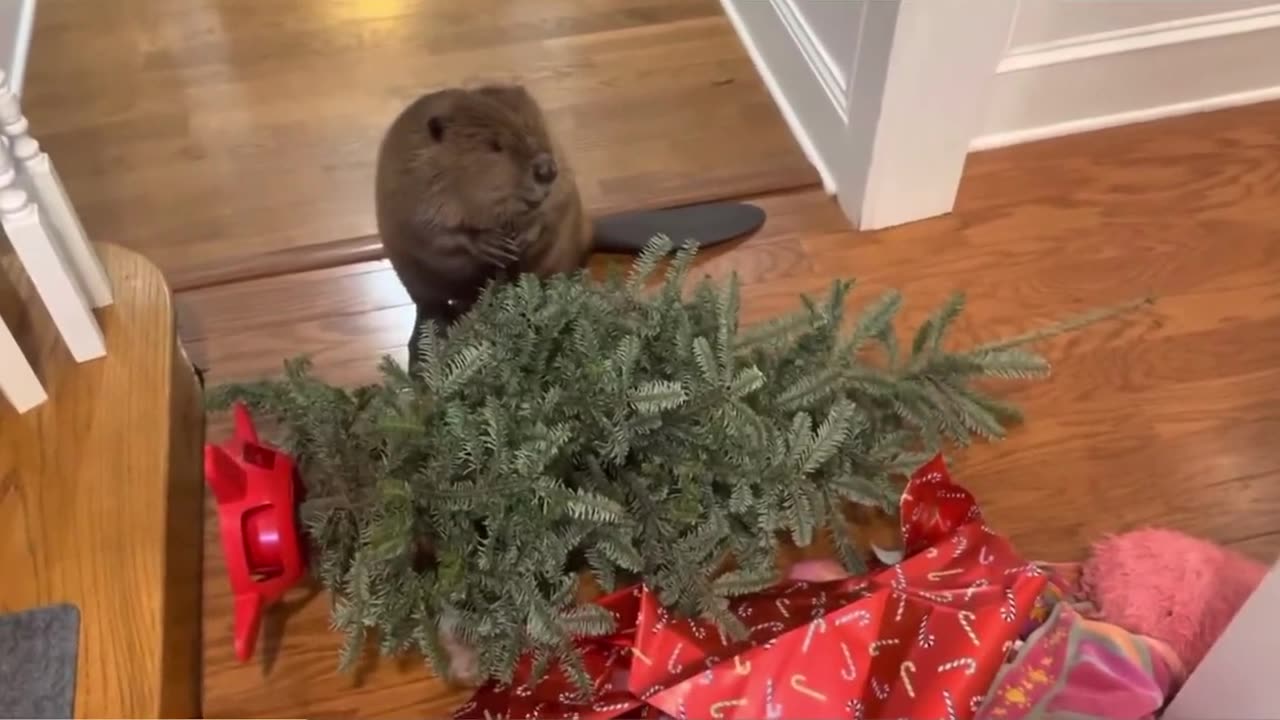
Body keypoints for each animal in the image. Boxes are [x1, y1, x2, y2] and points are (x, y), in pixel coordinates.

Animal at [371, 83, 588, 361]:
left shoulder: (559, 159)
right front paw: (492, 245)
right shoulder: (408, 185)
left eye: (527, 128)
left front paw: (522, 238)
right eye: (495, 145)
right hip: (413, 278)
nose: (546, 170)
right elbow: (431, 234)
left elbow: (557, 204)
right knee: (428, 306)